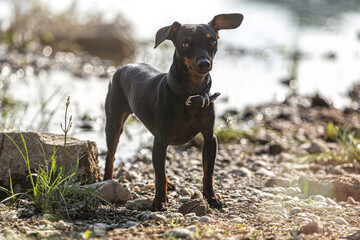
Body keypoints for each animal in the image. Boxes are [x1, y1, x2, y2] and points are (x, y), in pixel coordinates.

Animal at [105, 14, 243, 211]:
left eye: (212, 42)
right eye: (185, 43)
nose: (204, 64)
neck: (191, 96)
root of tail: (126, 65)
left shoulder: (210, 138)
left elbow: (208, 173)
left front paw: (212, 198)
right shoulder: (161, 139)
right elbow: (159, 174)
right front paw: (159, 201)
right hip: (114, 123)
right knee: (111, 155)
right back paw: (106, 182)